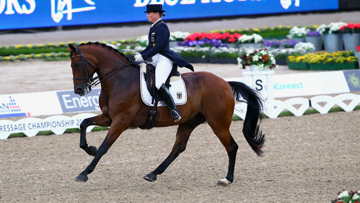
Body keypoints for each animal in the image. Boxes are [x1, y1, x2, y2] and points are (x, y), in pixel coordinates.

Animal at [67, 42, 264, 186]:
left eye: (76, 64)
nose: (79, 90)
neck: (120, 80)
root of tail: (225, 83)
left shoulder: (121, 121)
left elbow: (104, 147)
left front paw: (84, 173)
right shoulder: (109, 117)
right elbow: (84, 123)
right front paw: (89, 149)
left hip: (218, 123)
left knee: (231, 146)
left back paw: (227, 179)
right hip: (189, 122)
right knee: (178, 148)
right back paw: (153, 173)